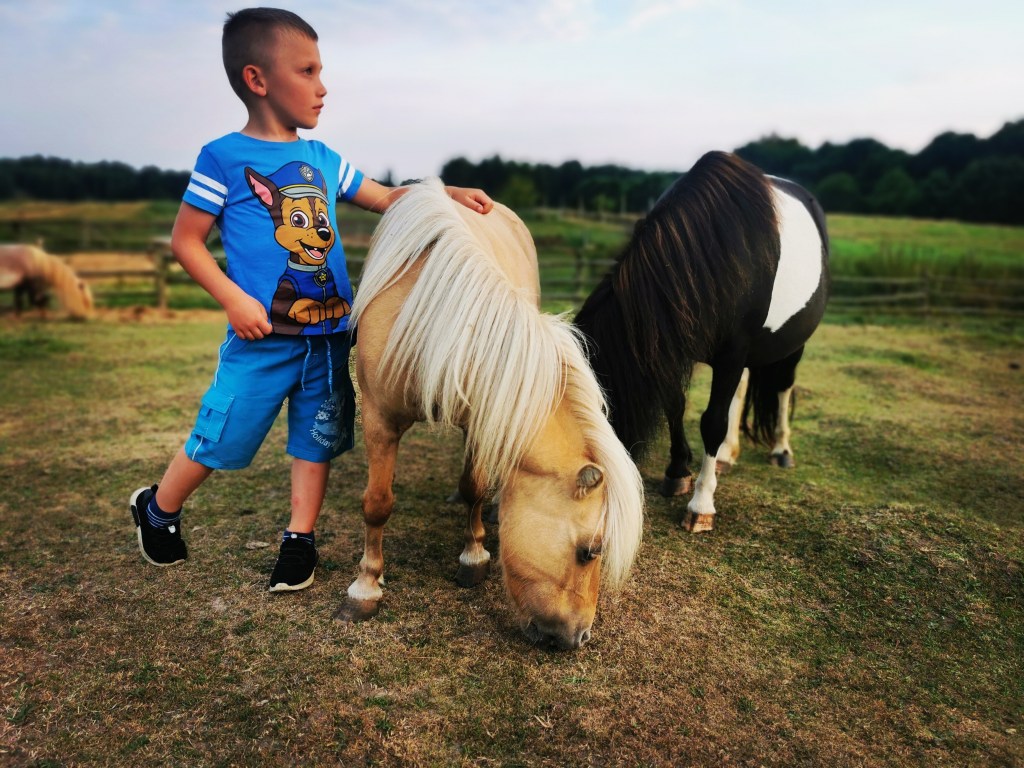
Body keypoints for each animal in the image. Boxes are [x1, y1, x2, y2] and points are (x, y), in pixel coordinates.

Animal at [338, 178, 645, 649]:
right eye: (588, 551)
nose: (580, 637)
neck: (435, 319)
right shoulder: (378, 419)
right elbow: (377, 504)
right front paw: (365, 588)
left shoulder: (485, 419)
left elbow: (475, 487)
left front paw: (474, 556)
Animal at [573, 151, 829, 533]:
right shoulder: (669, 346)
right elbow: (676, 406)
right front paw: (678, 471)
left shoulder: (731, 354)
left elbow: (712, 421)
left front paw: (701, 505)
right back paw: (727, 455)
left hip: (793, 342)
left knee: (783, 387)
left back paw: (781, 450)